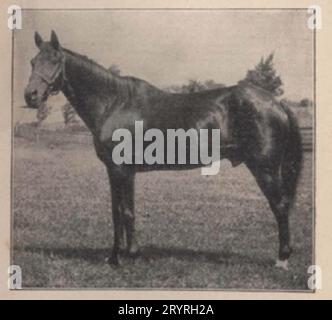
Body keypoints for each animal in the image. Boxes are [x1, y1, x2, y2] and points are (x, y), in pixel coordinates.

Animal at [24, 31, 302, 268]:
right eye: (32, 61)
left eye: (55, 60)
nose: (31, 96)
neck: (115, 102)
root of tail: (276, 103)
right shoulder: (118, 171)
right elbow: (120, 212)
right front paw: (120, 255)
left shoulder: (120, 170)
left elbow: (124, 212)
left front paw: (124, 256)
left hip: (265, 169)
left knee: (280, 206)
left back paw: (282, 259)